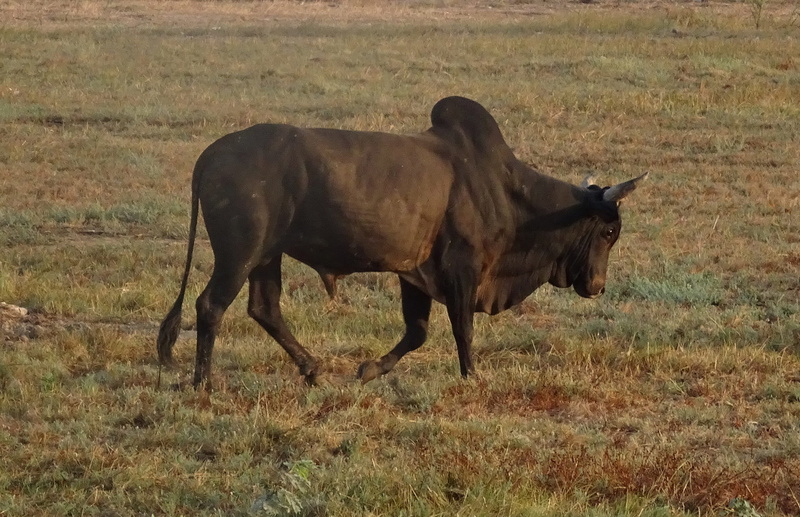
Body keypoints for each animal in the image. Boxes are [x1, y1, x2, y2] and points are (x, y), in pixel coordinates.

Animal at [157, 96, 647, 390]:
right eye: (609, 231)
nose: (597, 285)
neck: (506, 191)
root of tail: (210, 155)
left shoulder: (415, 274)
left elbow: (417, 332)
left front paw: (369, 369)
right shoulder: (462, 269)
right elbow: (462, 328)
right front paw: (472, 376)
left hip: (265, 255)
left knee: (264, 307)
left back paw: (312, 368)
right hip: (240, 253)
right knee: (210, 306)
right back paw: (203, 382)